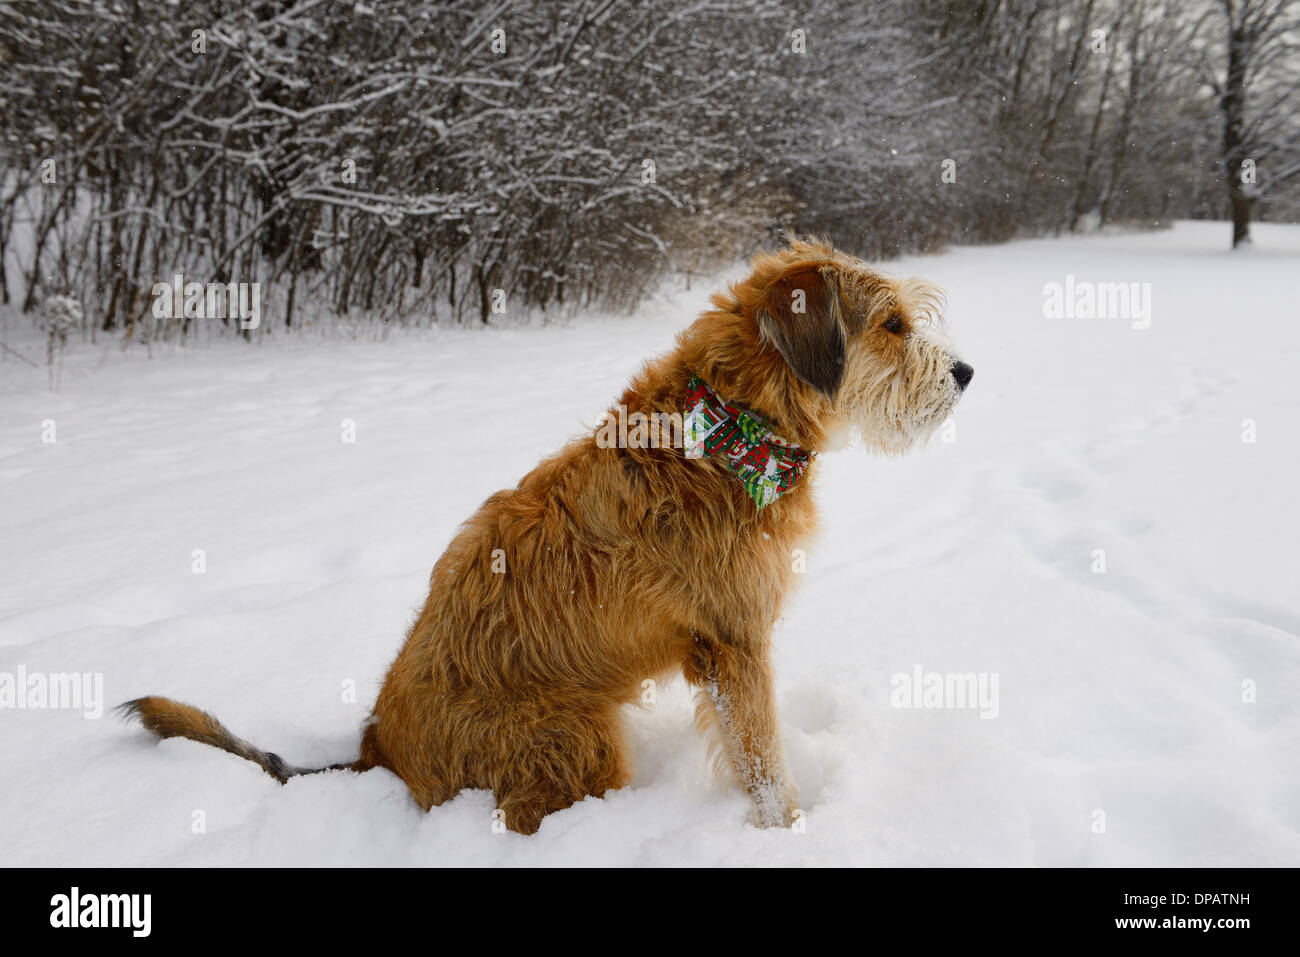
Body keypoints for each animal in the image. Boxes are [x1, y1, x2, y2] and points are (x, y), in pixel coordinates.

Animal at [124, 237, 977, 832]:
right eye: (893, 324)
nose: (965, 373)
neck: (728, 428)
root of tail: (375, 747)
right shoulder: (733, 642)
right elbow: (764, 761)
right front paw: (789, 830)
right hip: (573, 733)